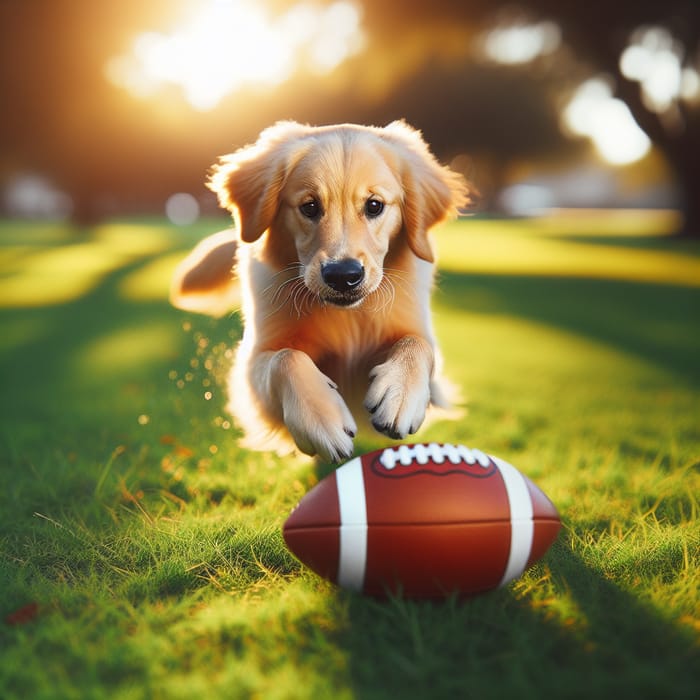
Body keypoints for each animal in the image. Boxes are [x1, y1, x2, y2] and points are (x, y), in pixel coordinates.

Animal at [171, 120, 470, 462]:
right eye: (310, 206)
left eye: (374, 205)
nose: (343, 276)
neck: (347, 317)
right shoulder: (254, 365)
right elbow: (286, 358)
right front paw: (322, 418)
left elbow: (418, 344)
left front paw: (400, 395)